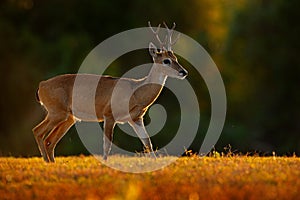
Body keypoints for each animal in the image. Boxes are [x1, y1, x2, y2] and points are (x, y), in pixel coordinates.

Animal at [33, 22, 188, 162]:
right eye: (166, 61)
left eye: (176, 59)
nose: (184, 72)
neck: (136, 92)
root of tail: (41, 86)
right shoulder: (109, 114)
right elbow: (107, 144)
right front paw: (105, 162)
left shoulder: (136, 118)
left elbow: (147, 142)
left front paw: (155, 163)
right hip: (56, 111)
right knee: (38, 132)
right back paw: (47, 162)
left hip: (69, 117)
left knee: (49, 141)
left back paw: (51, 162)